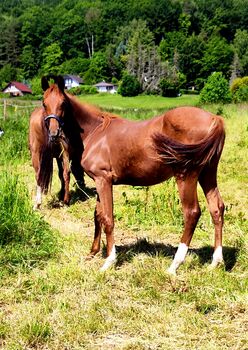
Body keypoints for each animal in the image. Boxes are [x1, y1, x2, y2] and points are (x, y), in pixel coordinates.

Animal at [28, 76, 85, 208]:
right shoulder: (38, 154)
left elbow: (65, 173)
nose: (55, 132)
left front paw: (65, 198)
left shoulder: (64, 153)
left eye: (63, 103)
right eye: (44, 104)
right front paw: (37, 203)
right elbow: (40, 174)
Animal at [42, 76, 225, 274]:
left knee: (192, 213)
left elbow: (108, 218)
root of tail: (215, 119)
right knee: (217, 208)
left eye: (63, 103)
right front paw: (93, 252)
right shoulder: (100, 182)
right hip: (208, 173)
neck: (96, 132)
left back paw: (174, 266)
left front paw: (109, 261)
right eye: (44, 103)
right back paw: (216, 262)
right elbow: (98, 215)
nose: (54, 134)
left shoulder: (103, 180)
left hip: (185, 175)